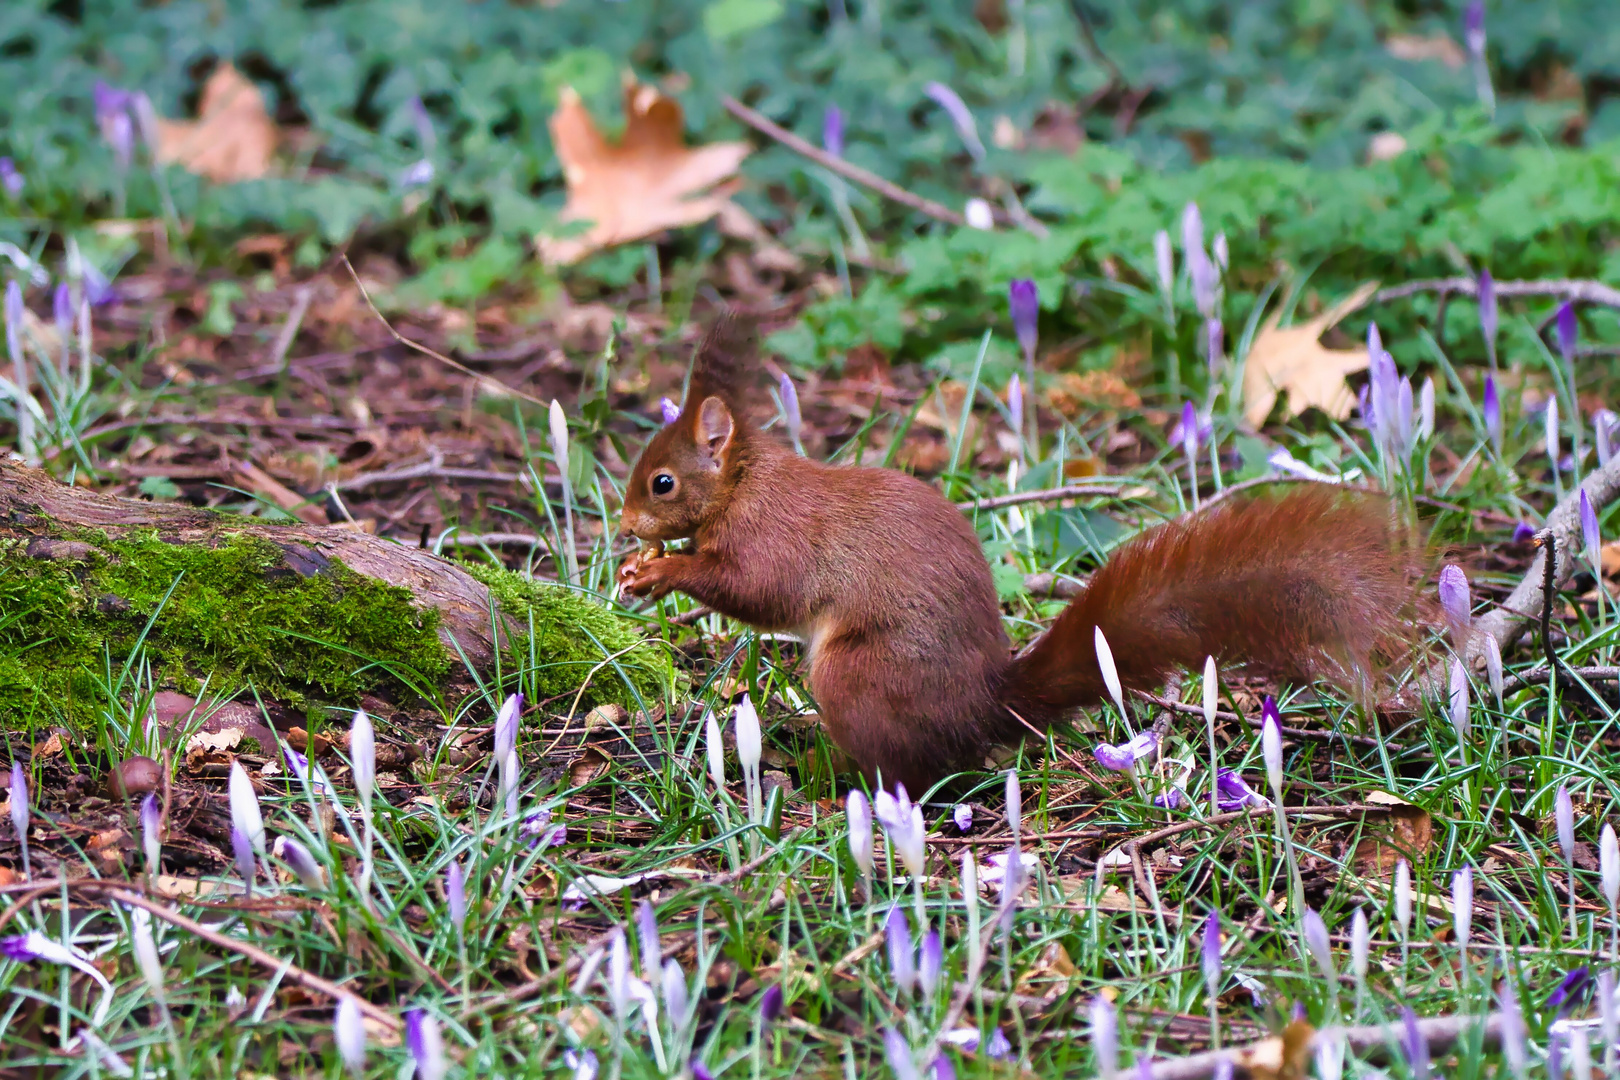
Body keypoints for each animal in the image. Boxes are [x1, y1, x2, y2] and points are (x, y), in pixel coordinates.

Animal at [618, 317, 1419, 790]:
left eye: (662, 482)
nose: (624, 525)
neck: (744, 483)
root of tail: (981, 707)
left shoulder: (776, 534)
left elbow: (756, 589)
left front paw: (667, 568)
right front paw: (640, 572)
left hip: (857, 676)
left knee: (908, 771)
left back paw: (832, 782)